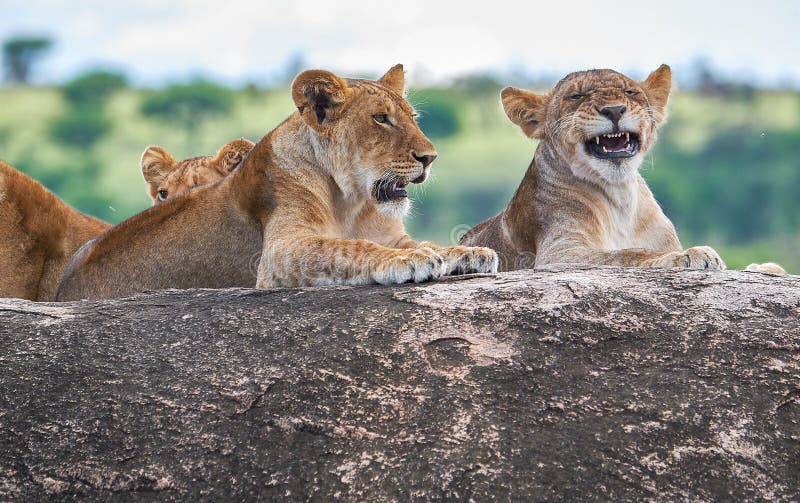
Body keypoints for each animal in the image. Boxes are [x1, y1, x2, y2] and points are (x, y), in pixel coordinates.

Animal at [55, 65, 498, 301]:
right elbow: (349, 247)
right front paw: (411, 262)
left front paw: (467, 252)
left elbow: (426, 242)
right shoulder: (278, 255)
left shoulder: (391, 233)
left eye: (412, 117)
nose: (430, 157)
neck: (353, 201)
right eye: (381, 119)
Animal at [461, 65, 784, 274]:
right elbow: (625, 255)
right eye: (576, 97)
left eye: (630, 92)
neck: (620, 197)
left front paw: (765, 267)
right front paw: (688, 255)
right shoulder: (560, 254)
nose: (614, 110)